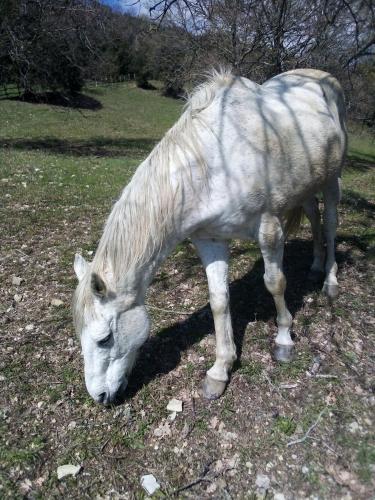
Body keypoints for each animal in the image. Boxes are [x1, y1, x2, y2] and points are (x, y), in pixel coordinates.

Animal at [72, 68, 348, 404]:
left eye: (104, 339)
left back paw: (330, 280)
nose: (99, 396)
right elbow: (219, 301)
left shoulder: (269, 229)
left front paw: (284, 340)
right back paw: (316, 267)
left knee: (331, 224)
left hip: (332, 180)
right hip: (307, 187)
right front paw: (220, 370)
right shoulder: (210, 240)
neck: (216, 163)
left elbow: (275, 283)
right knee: (315, 218)